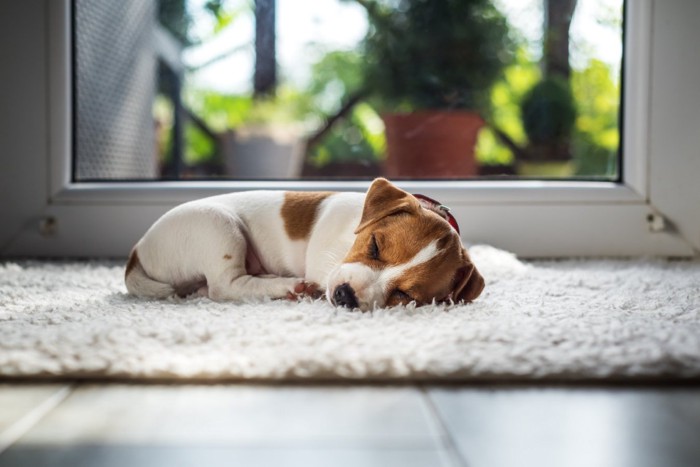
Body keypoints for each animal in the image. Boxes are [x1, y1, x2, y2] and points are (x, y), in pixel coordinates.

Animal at [126, 178, 484, 310]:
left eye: (405, 295)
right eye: (374, 247)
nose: (344, 295)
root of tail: (136, 252)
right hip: (219, 227)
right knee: (224, 287)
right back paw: (289, 286)